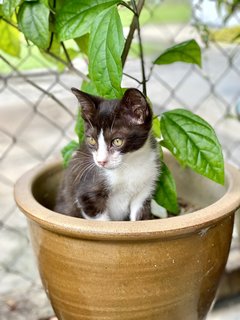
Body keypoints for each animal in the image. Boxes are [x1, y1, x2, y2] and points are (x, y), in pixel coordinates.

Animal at [54, 89, 159, 221]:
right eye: (91, 140)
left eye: (117, 141)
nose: (101, 161)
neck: (131, 162)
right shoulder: (87, 195)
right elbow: (102, 221)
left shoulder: (145, 190)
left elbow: (140, 217)